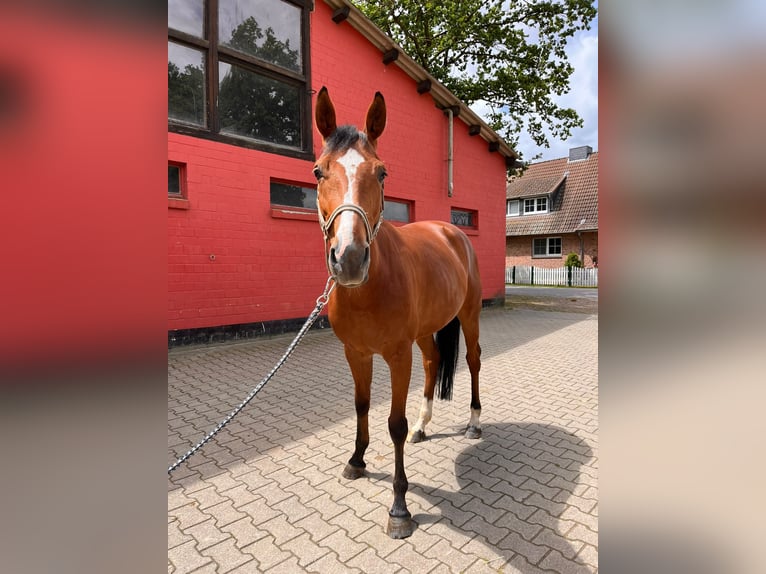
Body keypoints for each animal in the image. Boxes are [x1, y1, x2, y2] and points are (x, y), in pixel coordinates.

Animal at [314, 85, 484, 540]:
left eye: (382, 173)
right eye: (319, 172)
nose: (349, 259)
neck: (367, 289)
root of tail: (451, 229)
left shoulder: (396, 355)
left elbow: (394, 424)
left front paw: (399, 508)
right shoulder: (355, 353)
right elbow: (361, 406)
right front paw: (356, 461)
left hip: (470, 316)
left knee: (472, 361)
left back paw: (474, 422)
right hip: (425, 333)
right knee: (433, 361)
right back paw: (425, 427)